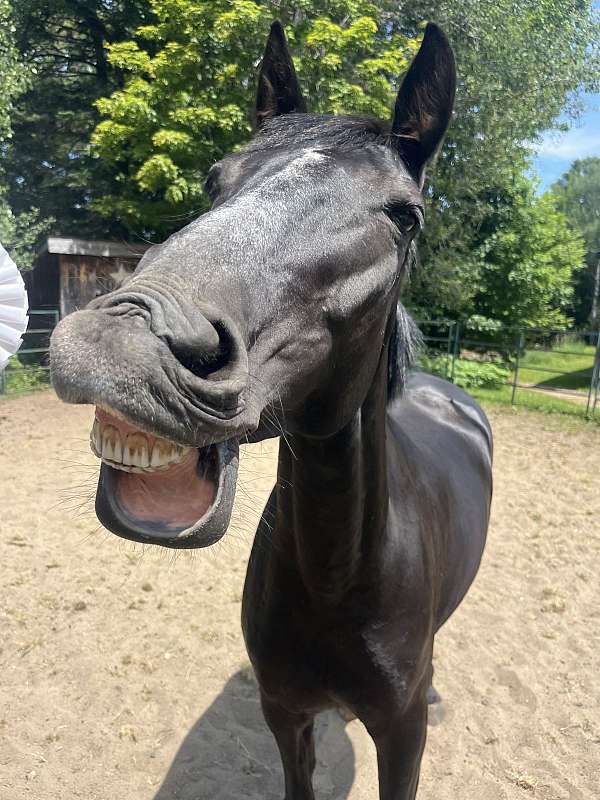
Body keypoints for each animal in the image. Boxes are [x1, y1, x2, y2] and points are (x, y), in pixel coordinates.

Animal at [50, 21, 492, 799]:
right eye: (214, 181)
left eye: (406, 214)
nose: (125, 340)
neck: (339, 580)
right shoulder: (284, 714)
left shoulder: (401, 740)